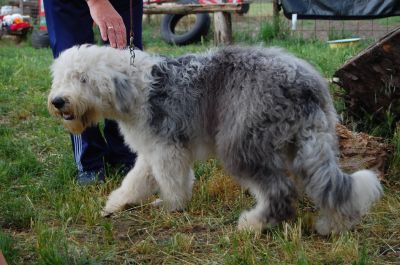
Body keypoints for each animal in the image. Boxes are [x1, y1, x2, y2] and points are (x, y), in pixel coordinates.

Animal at [48, 44, 382, 234]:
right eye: (61, 77)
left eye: (83, 78)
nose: (58, 101)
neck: (133, 86)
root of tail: (308, 84)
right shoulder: (153, 149)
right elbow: (137, 179)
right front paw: (117, 203)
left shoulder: (166, 147)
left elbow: (170, 179)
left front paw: (171, 206)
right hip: (303, 142)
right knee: (325, 186)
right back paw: (334, 225)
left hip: (242, 142)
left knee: (281, 190)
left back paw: (254, 224)